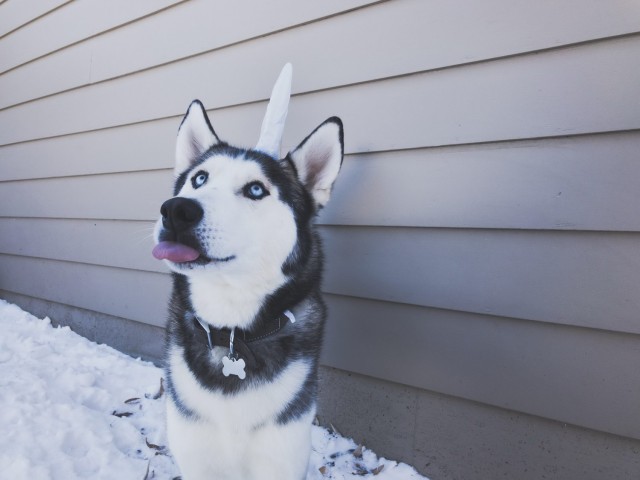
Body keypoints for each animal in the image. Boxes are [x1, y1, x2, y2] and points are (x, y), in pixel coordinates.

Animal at [152, 64, 342, 480]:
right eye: (199, 178)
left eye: (256, 189)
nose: (176, 210)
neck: (233, 333)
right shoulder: (197, 457)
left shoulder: (281, 457)